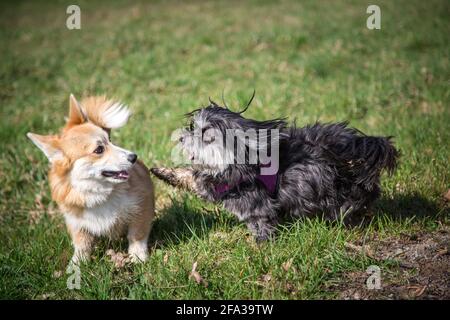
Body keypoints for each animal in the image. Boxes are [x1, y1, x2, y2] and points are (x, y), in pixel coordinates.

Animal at [151, 100, 398, 240]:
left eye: (207, 135)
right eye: (193, 126)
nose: (182, 138)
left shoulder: (253, 204)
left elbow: (260, 223)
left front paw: (261, 245)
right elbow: (191, 177)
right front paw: (162, 171)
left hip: (341, 193)